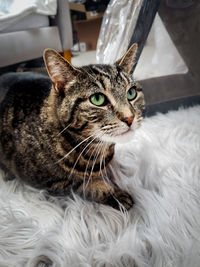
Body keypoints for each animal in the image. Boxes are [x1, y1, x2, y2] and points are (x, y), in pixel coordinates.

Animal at [0, 44, 145, 210]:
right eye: (97, 99)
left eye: (131, 93)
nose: (129, 118)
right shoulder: (54, 183)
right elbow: (83, 184)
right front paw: (115, 194)